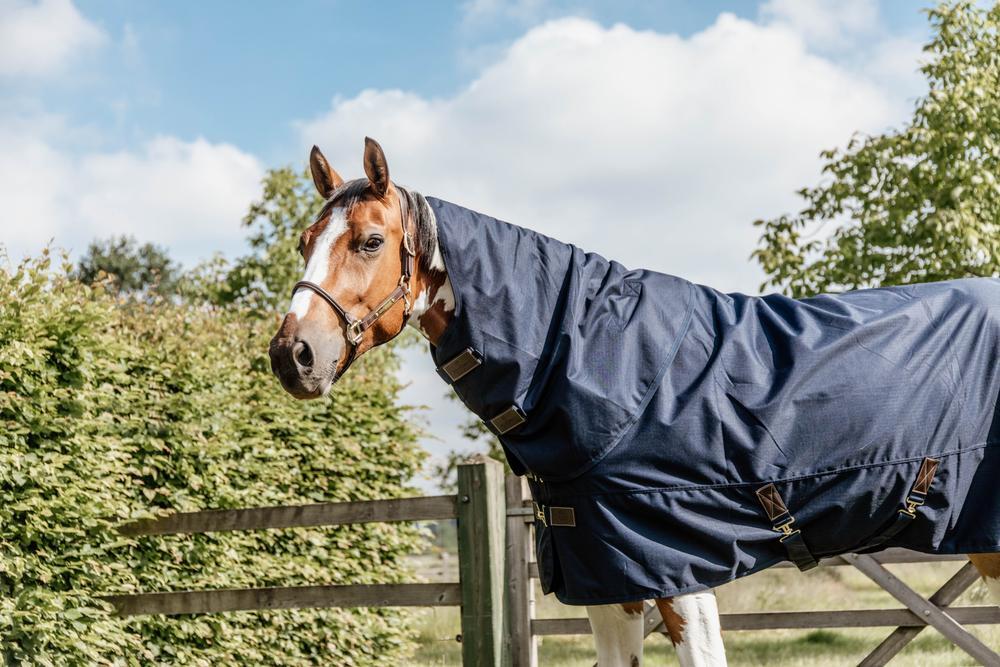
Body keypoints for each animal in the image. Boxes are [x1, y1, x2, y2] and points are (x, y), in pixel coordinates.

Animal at [269, 138, 1000, 666]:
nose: (291, 354)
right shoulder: (607, 584)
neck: (599, 358)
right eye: (305, 242)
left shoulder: (681, 579)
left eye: (370, 241)